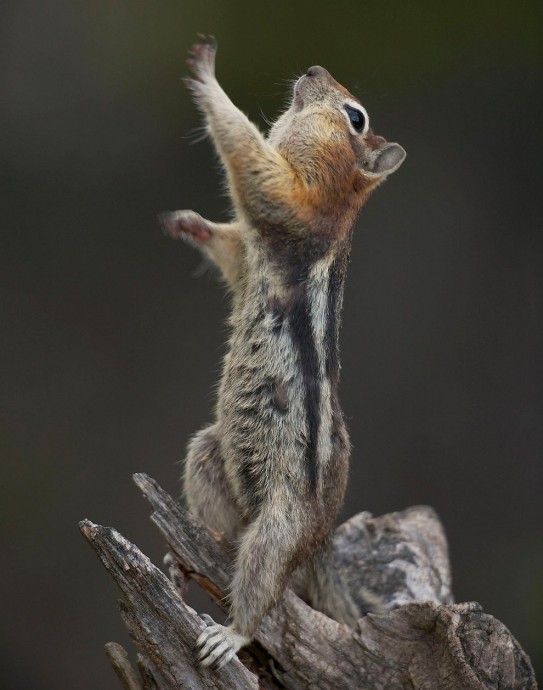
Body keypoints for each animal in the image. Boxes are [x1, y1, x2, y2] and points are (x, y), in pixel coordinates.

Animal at [159, 36, 406, 668]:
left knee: (263, 582)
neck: (344, 202)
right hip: (209, 455)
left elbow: (251, 163)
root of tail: (319, 541)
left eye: (356, 117)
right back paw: (182, 559)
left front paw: (206, 76)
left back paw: (231, 634)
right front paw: (188, 223)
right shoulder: (249, 253)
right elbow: (229, 247)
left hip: (282, 523)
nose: (315, 68)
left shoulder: (295, 202)